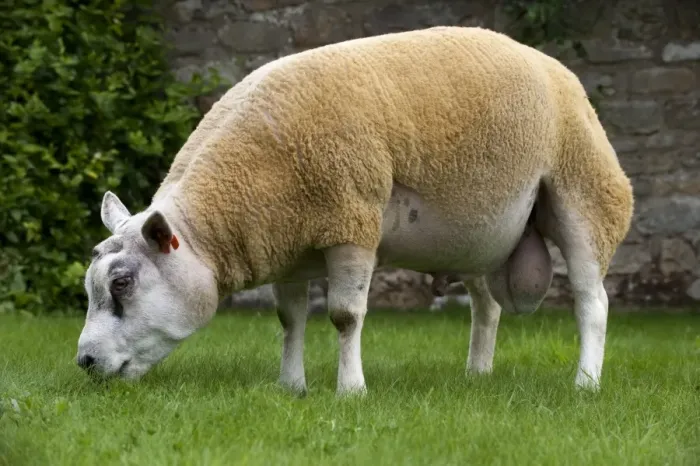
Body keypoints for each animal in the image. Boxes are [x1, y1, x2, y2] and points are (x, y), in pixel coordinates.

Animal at [76, 26, 634, 395]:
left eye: (122, 283)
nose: (84, 361)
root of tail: (554, 67)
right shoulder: (288, 244)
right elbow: (290, 319)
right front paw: (291, 387)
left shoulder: (352, 223)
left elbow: (345, 316)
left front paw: (351, 391)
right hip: (479, 234)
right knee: (487, 306)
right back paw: (477, 374)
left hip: (586, 193)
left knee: (592, 301)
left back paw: (586, 384)